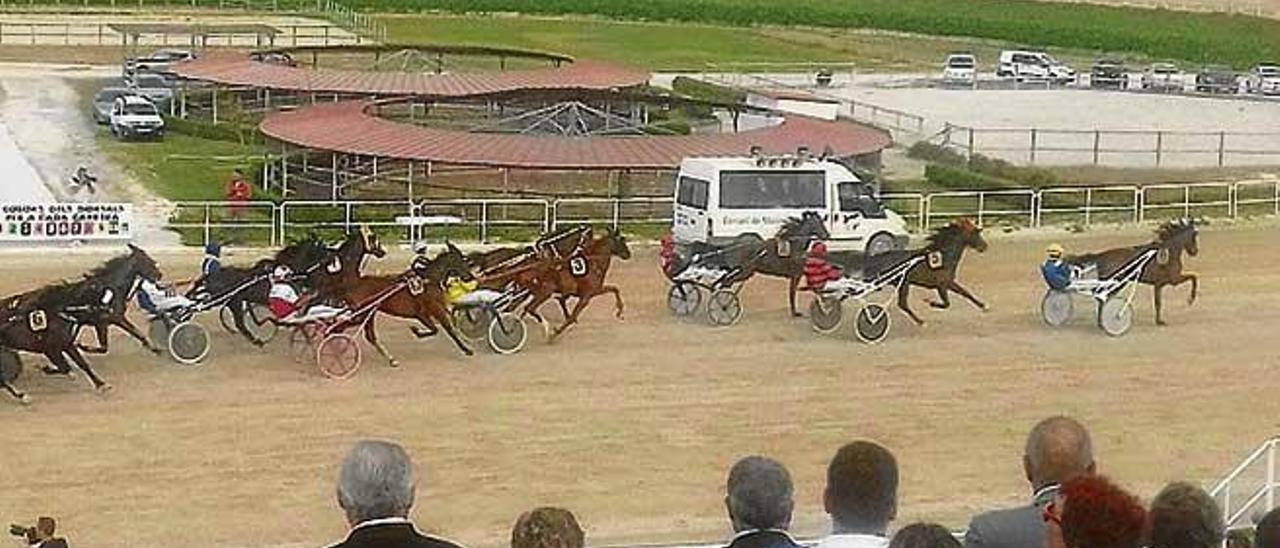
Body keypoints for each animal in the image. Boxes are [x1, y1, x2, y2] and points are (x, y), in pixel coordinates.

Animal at [844, 217, 993, 325]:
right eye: (976, 232)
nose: (984, 246)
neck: (943, 256)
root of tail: (876, 257)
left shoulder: (949, 282)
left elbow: (966, 293)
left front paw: (984, 306)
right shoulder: (941, 285)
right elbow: (947, 303)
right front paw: (930, 301)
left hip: (897, 283)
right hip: (902, 284)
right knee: (902, 304)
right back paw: (920, 321)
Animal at [1064, 218, 1192, 325]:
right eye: (1194, 236)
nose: (1194, 251)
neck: (1169, 253)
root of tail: (1102, 256)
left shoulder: (1160, 284)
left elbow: (1158, 302)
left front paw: (1159, 320)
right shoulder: (1173, 280)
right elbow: (1193, 277)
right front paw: (1190, 300)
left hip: (1119, 282)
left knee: (1103, 296)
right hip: (1114, 282)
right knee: (1101, 295)